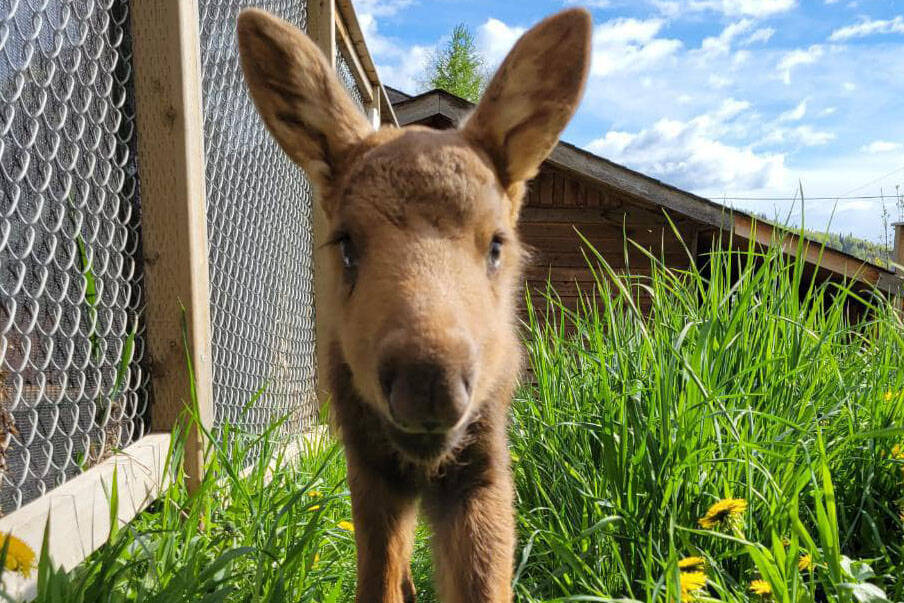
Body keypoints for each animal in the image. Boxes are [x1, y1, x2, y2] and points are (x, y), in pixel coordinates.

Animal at [238, 7, 592, 600]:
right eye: (346, 244)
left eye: (497, 244)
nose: (428, 383)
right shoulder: (368, 466)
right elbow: (380, 581)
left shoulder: (484, 464)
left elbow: (484, 584)